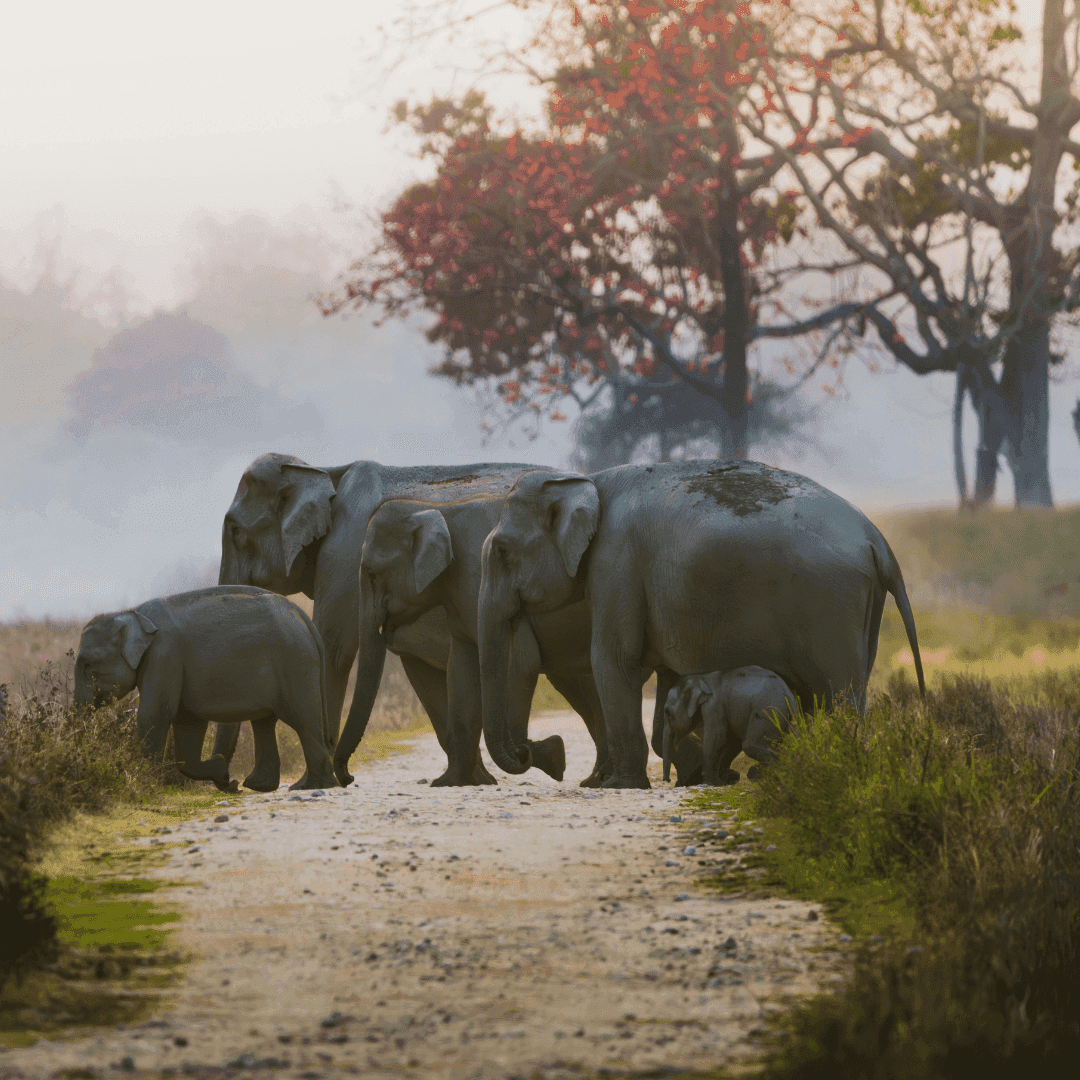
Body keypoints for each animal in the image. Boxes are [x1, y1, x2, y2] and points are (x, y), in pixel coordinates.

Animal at [73, 586, 337, 792]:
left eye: (86, 665)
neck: (131, 612)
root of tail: (302, 616)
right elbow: (187, 723)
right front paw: (224, 776)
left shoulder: (164, 655)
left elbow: (155, 715)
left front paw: (145, 783)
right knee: (265, 722)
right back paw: (260, 785)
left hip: (294, 661)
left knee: (302, 719)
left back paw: (311, 786)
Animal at [217, 454, 583, 790]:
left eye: (236, 531)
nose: (234, 784)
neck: (324, 470)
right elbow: (424, 677)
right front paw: (475, 780)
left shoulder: (343, 555)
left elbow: (333, 653)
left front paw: (312, 784)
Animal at [341, 493, 612, 787]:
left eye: (372, 574)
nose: (349, 777)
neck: (435, 509)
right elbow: (462, 674)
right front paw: (450, 782)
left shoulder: (479, 583)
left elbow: (519, 663)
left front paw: (546, 754)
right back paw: (597, 777)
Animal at [662, 667, 800, 786]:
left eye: (667, 712)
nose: (668, 780)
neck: (701, 678)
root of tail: (788, 693)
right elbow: (732, 742)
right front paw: (724, 779)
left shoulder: (714, 705)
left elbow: (717, 737)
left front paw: (711, 783)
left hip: (768, 710)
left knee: (751, 745)